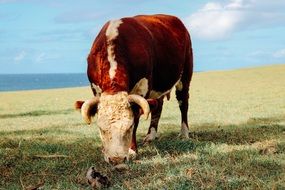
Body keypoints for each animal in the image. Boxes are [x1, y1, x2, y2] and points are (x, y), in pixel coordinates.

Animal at [75, 14, 193, 166]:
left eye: (129, 127)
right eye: (101, 129)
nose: (117, 159)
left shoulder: (142, 87)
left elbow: (137, 118)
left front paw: (132, 150)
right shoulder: (96, 88)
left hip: (185, 76)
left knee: (183, 103)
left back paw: (184, 133)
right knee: (158, 106)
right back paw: (150, 135)